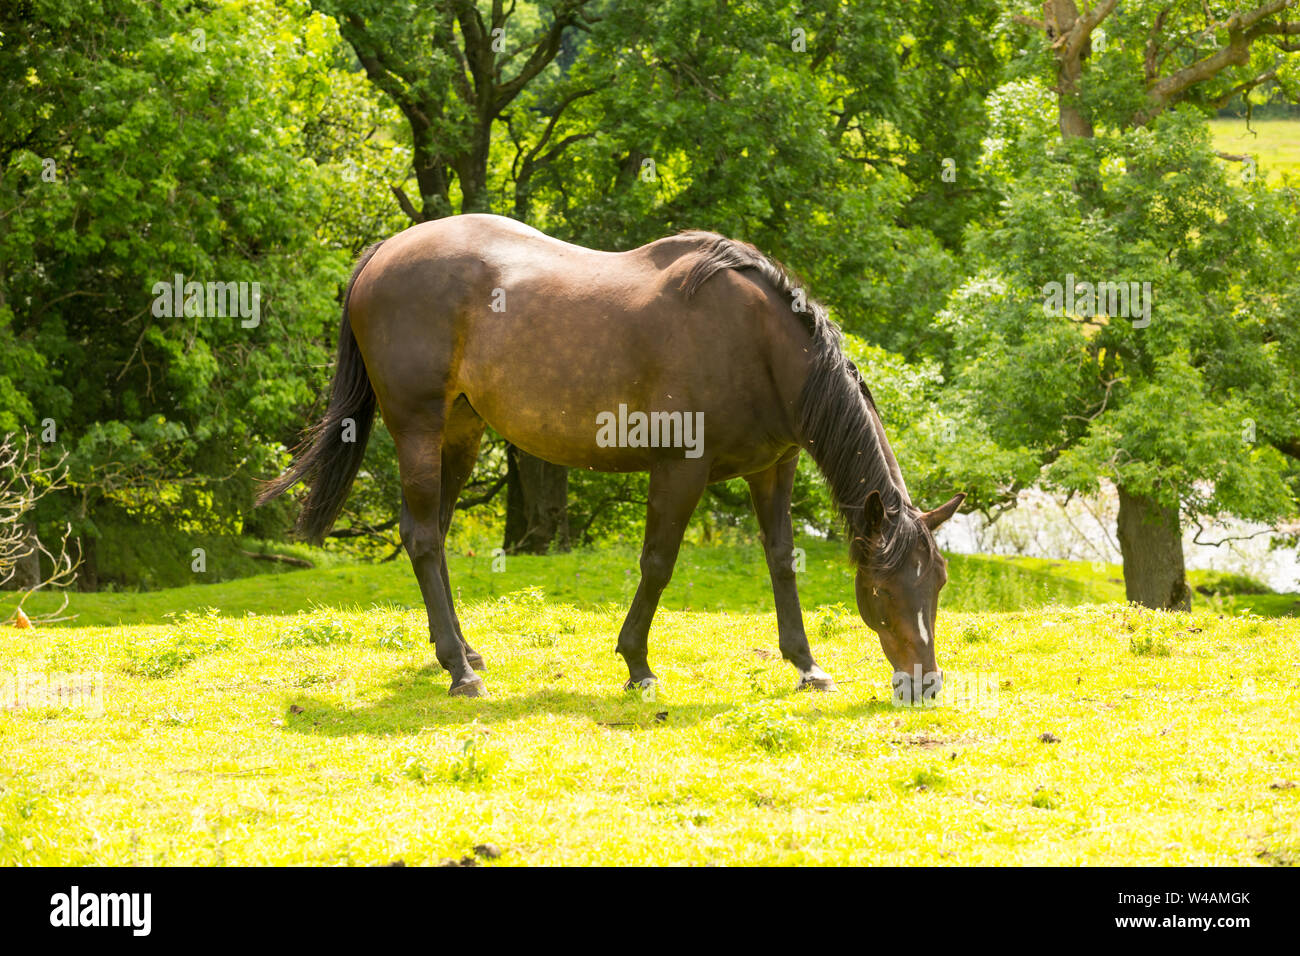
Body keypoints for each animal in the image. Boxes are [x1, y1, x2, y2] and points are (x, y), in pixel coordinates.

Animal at [258, 214, 964, 700]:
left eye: (937, 582)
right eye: (882, 588)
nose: (924, 684)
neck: (756, 341)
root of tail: (384, 252)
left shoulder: (774, 467)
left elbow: (781, 560)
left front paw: (806, 664)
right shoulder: (680, 469)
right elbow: (657, 564)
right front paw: (637, 663)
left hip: (460, 430)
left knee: (428, 532)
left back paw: (461, 651)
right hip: (418, 426)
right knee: (426, 538)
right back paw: (461, 673)